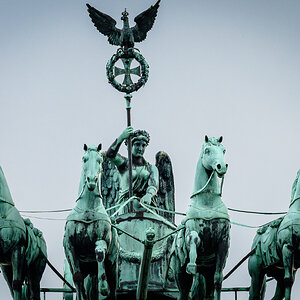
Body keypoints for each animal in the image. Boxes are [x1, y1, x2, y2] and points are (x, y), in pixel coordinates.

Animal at [63, 144, 118, 298]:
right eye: (84, 158)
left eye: (100, 160)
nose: (92, 180)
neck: (87, 209)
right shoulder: (70, 245)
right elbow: (77, 278)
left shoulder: (102, 239)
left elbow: (99, 253)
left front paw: (103, 286)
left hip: (112, 265)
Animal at [171, 136, 230, 300]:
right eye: (207, 150)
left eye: (223, 150)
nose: (221, 166)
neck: (207, 202)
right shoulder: (193, 232)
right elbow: (194, 238)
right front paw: (192, 263)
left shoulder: (223, 241)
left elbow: (218, 279)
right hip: (179, 274)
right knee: (183, 293)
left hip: (206, 272)